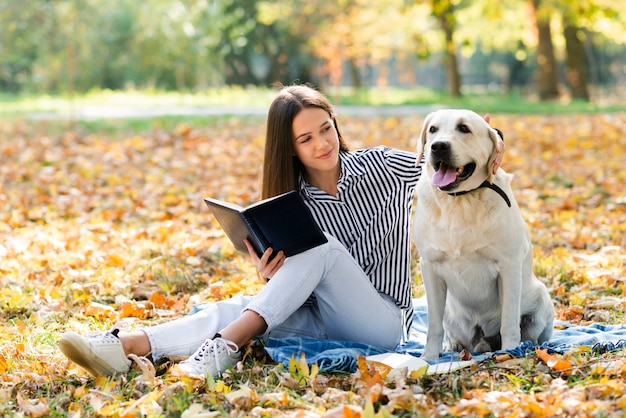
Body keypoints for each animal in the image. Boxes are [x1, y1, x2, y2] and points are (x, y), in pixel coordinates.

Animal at [412, 108, 552, 360]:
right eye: (433, 129)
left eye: (464, 128)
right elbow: (433, 326)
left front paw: (510, 352)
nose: (438, 146)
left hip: (541, 298)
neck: (460, 200)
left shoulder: (508, 265)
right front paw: (429, 358)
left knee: (530, 333)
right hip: (450, 312)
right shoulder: (429, 266)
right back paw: (453, 346)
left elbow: (509, 321)